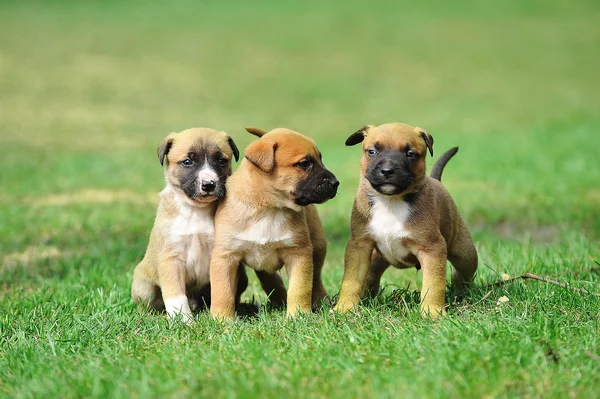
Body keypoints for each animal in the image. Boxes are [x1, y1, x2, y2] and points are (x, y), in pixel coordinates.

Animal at [131, 128, 244, 324]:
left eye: (221, 160)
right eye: (187, 162)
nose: (208, 184)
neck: (196, 210)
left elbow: (224, 290)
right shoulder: (171, 258)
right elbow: (176, 296)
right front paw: (184, 321)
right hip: (143, 286)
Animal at [209, 128, 338, 322]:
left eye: (320, 159)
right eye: (304, 163)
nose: (335, 183)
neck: (268, 208)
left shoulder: (299, 253)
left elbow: (300, 288)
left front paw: (297, 315)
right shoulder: (225, 257)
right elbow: (222, 292)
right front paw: (223, 319)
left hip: (318, 247)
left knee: (316, 279)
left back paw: (320, 302)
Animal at [332, 122, 478, 318]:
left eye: (410, 154)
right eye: (372, 151)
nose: (387, 171)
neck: (390, 201)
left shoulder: (432, 249)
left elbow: (433, 285)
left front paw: (432, 311)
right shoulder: (359, 246)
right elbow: (352, 279)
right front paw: (345, 307)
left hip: (466, 254)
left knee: (463, 274)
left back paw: (462, 293)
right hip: (376, 258)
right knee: (370, 278)